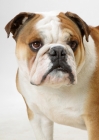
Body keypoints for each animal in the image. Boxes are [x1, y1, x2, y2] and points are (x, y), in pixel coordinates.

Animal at [4, 11, 99, 140]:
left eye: (73, 44)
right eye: (35, 44)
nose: (58, 51)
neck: (55, 87)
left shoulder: (94, 120)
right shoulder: (38, 117)